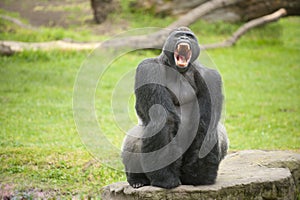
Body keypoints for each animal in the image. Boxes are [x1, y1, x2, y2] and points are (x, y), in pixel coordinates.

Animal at [120, 27, 229, 189]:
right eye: (178, 35)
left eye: (189, 36)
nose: (184, 38)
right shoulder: (149, 67)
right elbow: (165, 119)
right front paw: (165, 178)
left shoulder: (210, 76)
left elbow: (205, 123)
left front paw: (198, 175)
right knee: (136, 135)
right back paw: (137, 179)